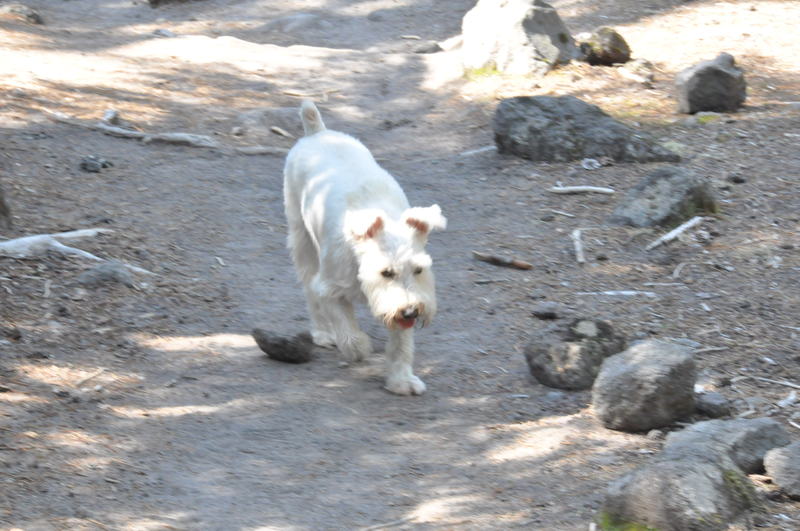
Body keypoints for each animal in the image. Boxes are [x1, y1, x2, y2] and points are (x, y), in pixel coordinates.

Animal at [283, 101, 446, 395]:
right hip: (301, 239)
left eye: (418, 270)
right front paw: (357, 348)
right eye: (386, 272)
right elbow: (346, 326)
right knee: (309, 290)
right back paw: (323, 333)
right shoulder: (329, 288)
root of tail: (317, 132)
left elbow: (401, 345)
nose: (411, 313)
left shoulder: (400, 304)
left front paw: (401, 380)